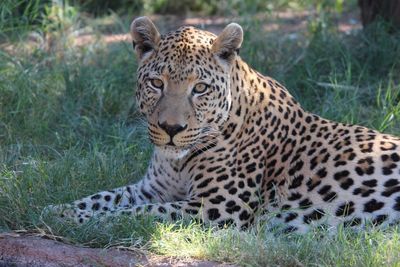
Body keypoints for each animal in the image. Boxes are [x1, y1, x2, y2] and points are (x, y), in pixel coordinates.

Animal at [49, 17, 400, 234]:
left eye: (200, 88)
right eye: (156, 83)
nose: (171, 129)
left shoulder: (220, 206)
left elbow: (137, 212)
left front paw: (80, 219)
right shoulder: (151, 189)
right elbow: (105, 197)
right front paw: (60, 210)